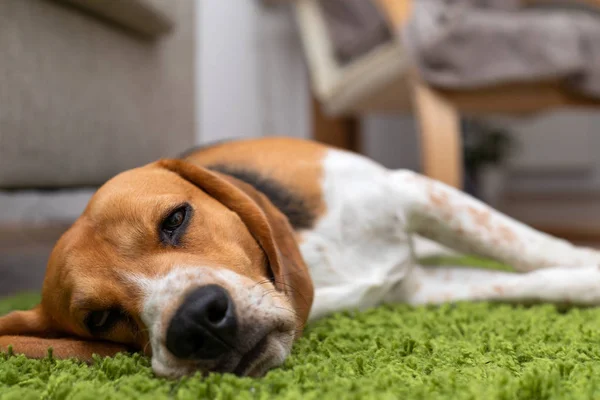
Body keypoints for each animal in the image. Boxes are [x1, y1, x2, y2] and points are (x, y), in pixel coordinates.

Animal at [1, 138, 600, 378]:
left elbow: (538, 248)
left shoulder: (411, 192)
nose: (196, 322)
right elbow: (537, 280)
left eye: (174, 219)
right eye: (99, 319)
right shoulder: (414, 289)